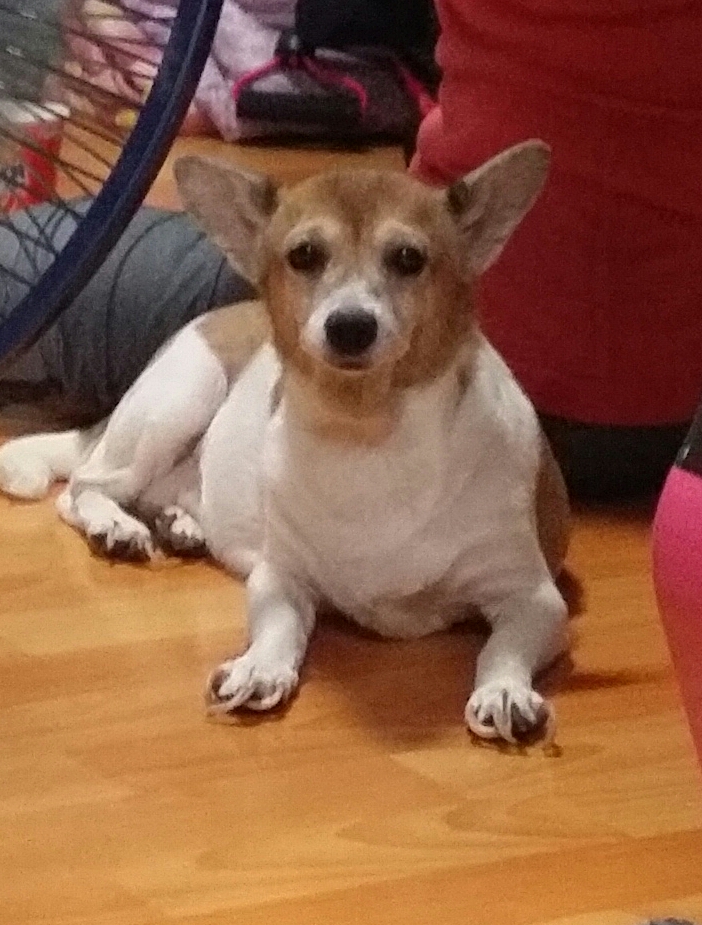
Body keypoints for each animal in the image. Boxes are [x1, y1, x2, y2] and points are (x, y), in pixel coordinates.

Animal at [0, 140, 569, 743]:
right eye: (304, 256)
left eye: (409, 259)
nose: (350, 325)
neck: (364, 429)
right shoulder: (279, 579)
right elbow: (279, 630)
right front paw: (260, 668)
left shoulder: (533, 599)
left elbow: (501, 649)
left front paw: (504, 691)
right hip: (181, 397)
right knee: (84, 487)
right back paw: (117, 527)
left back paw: (180, 524)